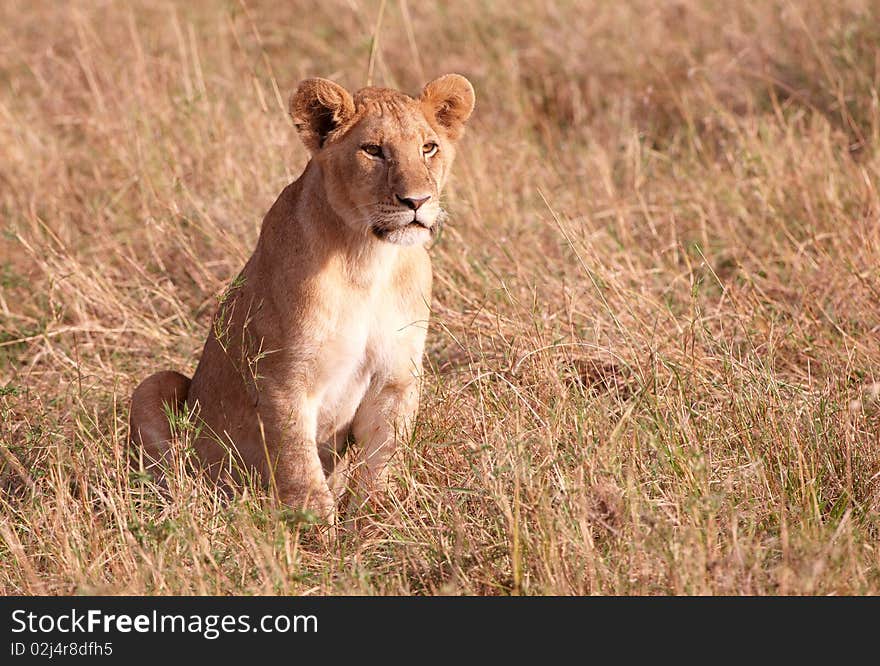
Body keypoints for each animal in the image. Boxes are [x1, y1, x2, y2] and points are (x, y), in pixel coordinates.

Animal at [126, 74, 474, 520]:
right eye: (373, 150)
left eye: (428, 147)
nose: (417, 201)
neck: (368, 260)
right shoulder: (282, 380)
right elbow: (299, 469)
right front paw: (317, 532)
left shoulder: (395, 379)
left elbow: (381, 462)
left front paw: (376, 523)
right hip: (155, 385)